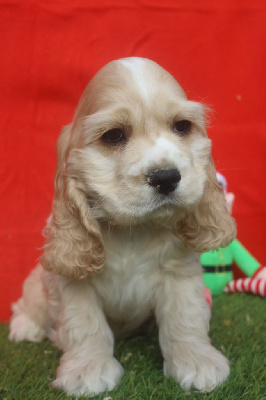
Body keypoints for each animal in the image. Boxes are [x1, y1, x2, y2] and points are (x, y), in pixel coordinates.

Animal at [9, 57, 236, 398]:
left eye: (182, 126)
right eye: (114, 136)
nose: (166, 177)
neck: (133, 231)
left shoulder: (180, 272)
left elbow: (185, 318)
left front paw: (197, 363)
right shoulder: (73, 285)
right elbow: (85, 325)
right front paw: (88, 371)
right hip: (38, 285)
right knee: (29, 303)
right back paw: (24, 327)